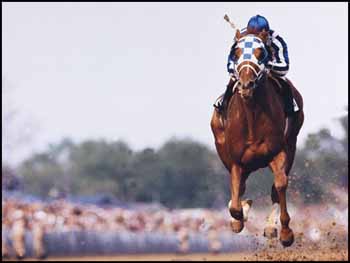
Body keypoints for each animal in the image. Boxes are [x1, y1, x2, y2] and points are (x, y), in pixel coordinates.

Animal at [211, 29, 304, 248]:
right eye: (236, 53)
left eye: (261, 53)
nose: (246, 85)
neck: (252, 116)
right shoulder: (236, 161)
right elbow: (235, 205)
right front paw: (239, 216)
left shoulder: (278, 152)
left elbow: (280, 184)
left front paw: (285, 233)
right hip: (222, 145)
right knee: (240, 187)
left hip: (291, 144)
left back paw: (270, 227)